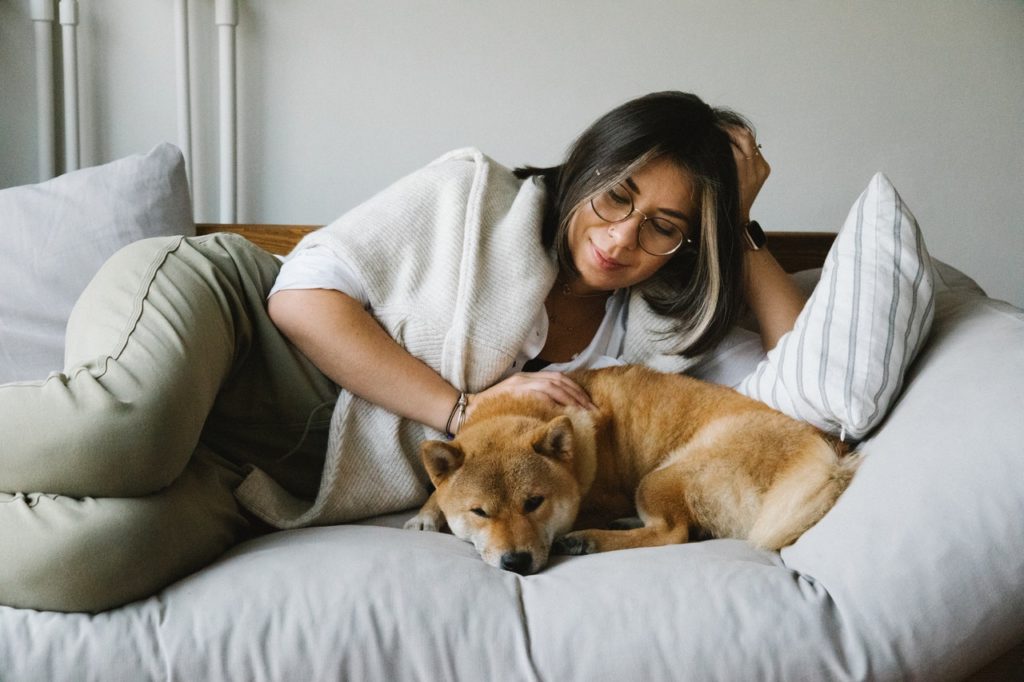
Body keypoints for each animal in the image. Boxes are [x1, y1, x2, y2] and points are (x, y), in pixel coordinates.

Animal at [403, 364, 860, 569]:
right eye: (479, 512)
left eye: (534, 503)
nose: (515, 563)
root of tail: (825, 454)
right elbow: (438, 492)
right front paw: (427, 514)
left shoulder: (606, 495)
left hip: (658, 477)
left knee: (673, 532)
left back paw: (589, 539)